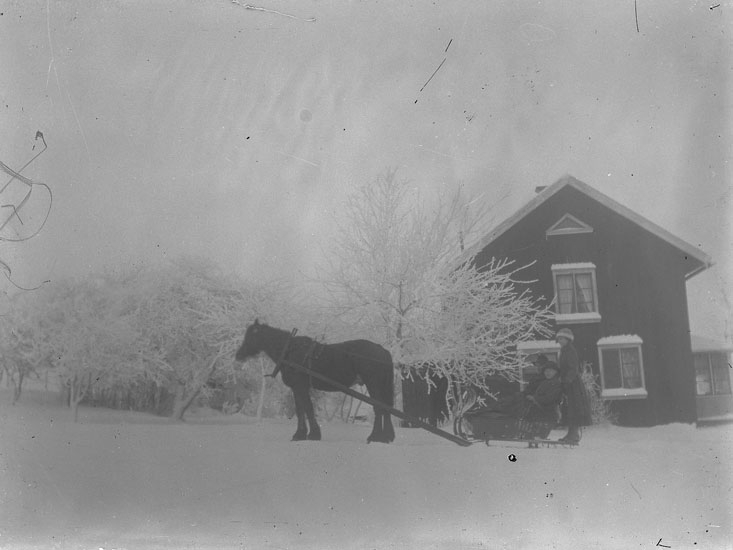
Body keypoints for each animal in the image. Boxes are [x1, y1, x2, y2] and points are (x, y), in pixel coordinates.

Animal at [234, 324, 394, 444]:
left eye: (251, 336)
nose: (238, 355)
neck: (289, 351)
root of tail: (382, 350)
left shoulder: (300, 386)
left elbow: (308, 409)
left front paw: (313, 434)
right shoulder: (297, 388)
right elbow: (301, 410)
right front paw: (300, 434)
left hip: (373, 384)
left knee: (379, 408)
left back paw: (375, 437)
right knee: (386, 409)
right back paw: (386, 437)